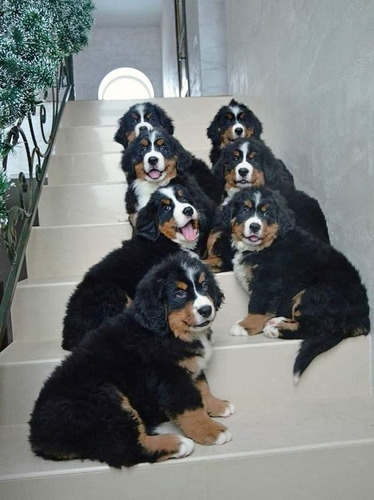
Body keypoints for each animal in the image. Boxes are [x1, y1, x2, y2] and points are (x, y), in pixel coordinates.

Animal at [30, 254, 234, 468]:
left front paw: (218, 405)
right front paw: (211, 430)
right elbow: (190, 406)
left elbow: (203, 387)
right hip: (105, 398)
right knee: (126, 448)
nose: (206, 309)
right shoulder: (170, 377)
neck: (167, 332)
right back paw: (177, 443)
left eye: (204, 286)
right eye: (179, 293)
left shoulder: (189, 368)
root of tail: (38, 439)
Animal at [60, 177, 216, 352]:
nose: (188, 210)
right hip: (113, 294)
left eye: (184, 199)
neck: (167, 241)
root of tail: (67, 336)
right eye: (167, 208)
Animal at [224, 187, 370, 378]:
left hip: (313, 293)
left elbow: (257, 306)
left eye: (267, 213)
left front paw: (245, 326)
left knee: (316, 328)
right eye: (245, 210)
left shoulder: (268, 281)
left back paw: (275, 329)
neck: (266, 246)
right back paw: (277, 321)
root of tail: (360, 320)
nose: (254, 226)